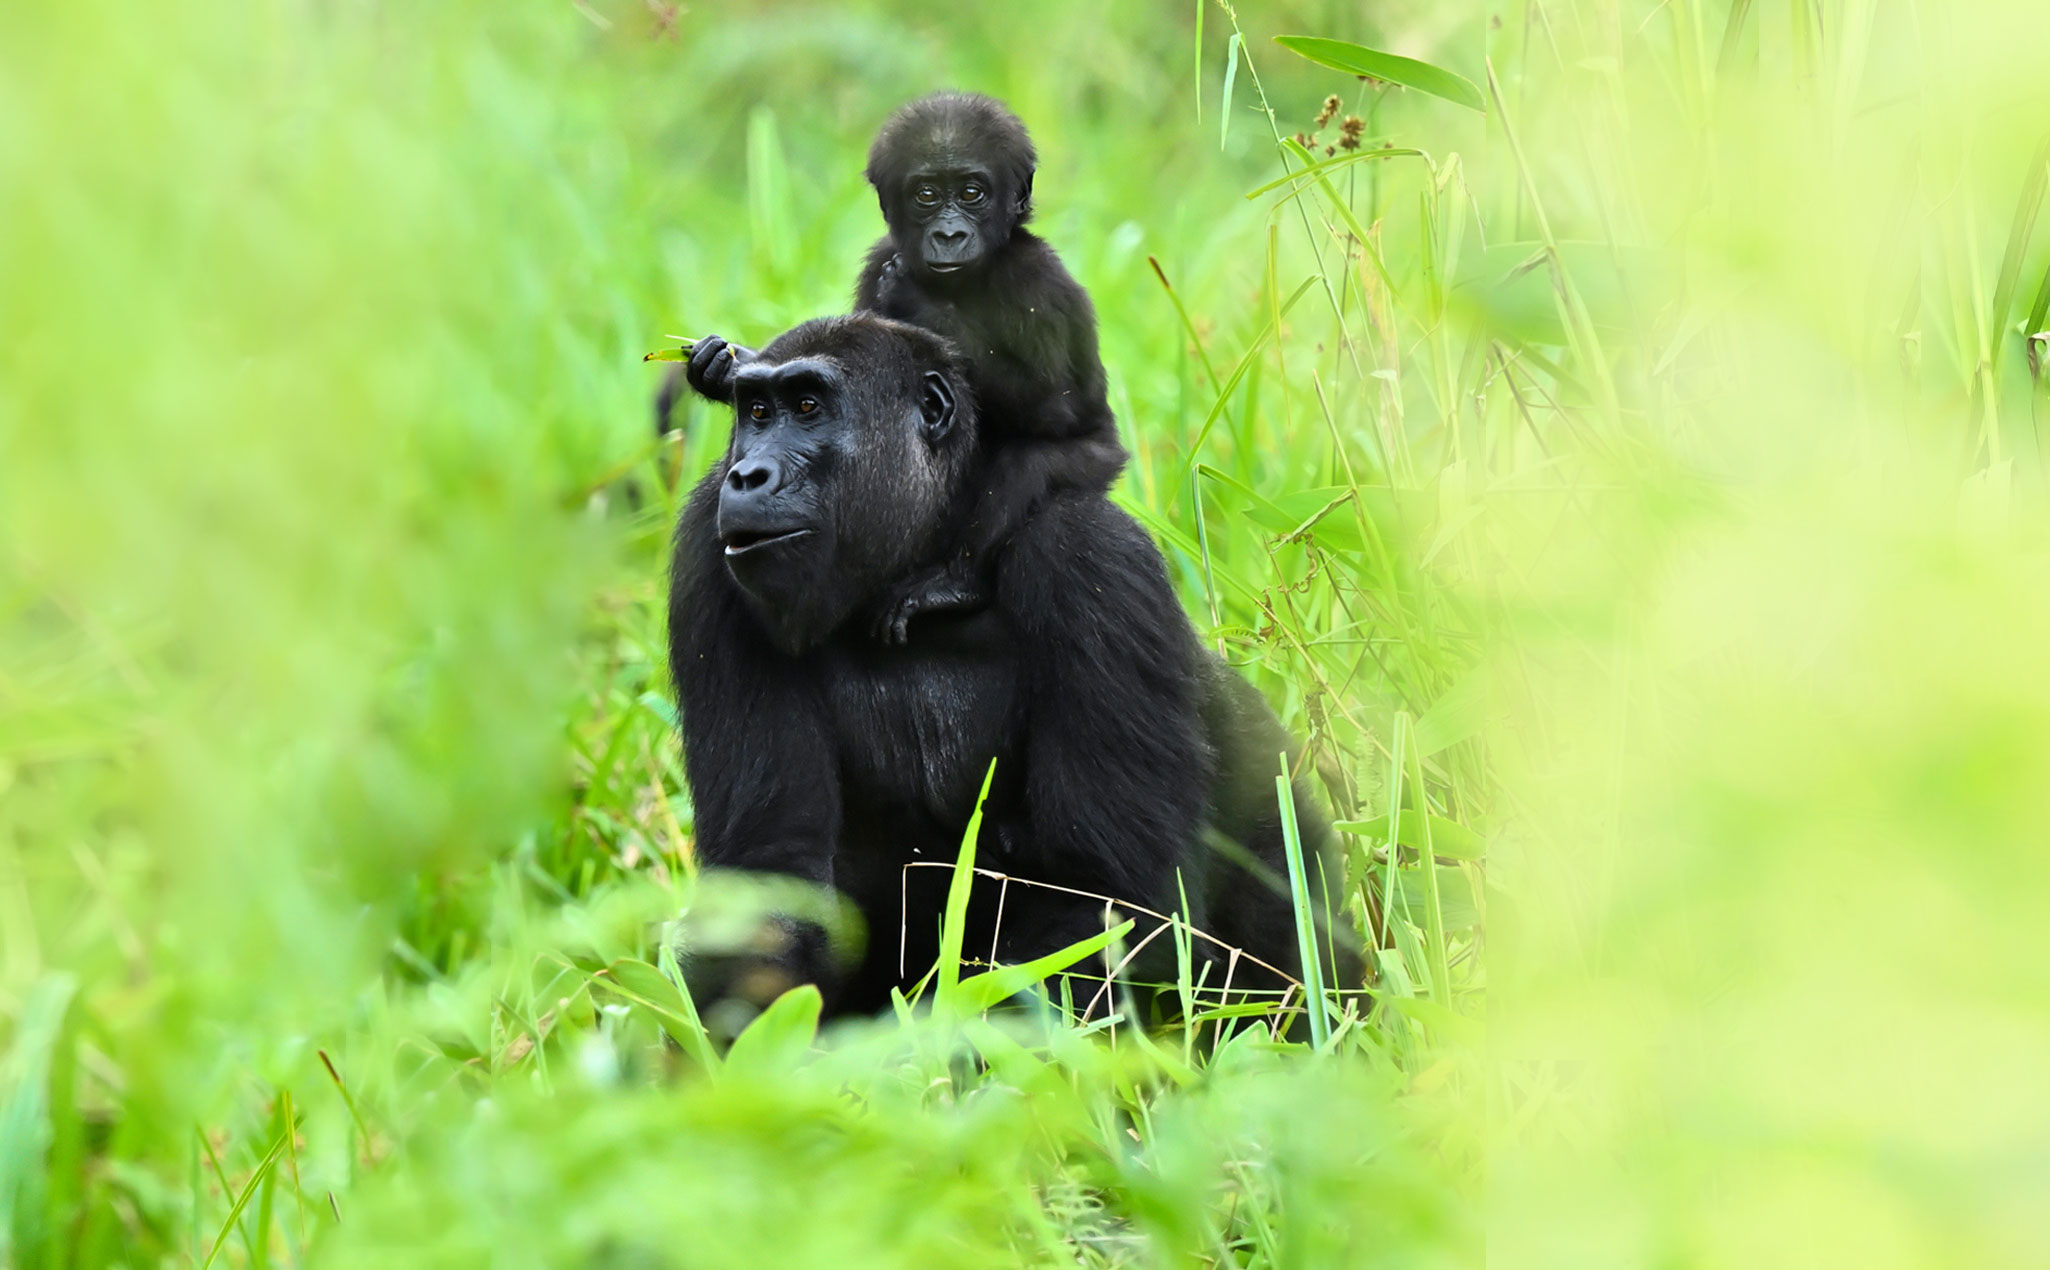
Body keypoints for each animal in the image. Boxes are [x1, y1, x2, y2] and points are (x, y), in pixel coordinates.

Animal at [668, 315, 1344, 1020]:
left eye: (806, 407)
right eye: (757, 412)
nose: (746, 475)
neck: (918, 562)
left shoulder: (1089, 554)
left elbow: (1110, 901)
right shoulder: (708, 551)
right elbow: (773, 878)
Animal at [672, 93, 1123, 643]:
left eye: (972, 193)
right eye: (926, 195)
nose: (948, 233)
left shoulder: (1036, 278)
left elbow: (1057, 407)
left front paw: (915, 298)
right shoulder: (879, 257)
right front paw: (720, 367)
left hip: (1100, 460)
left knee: (1030, 466)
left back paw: (953, 584)